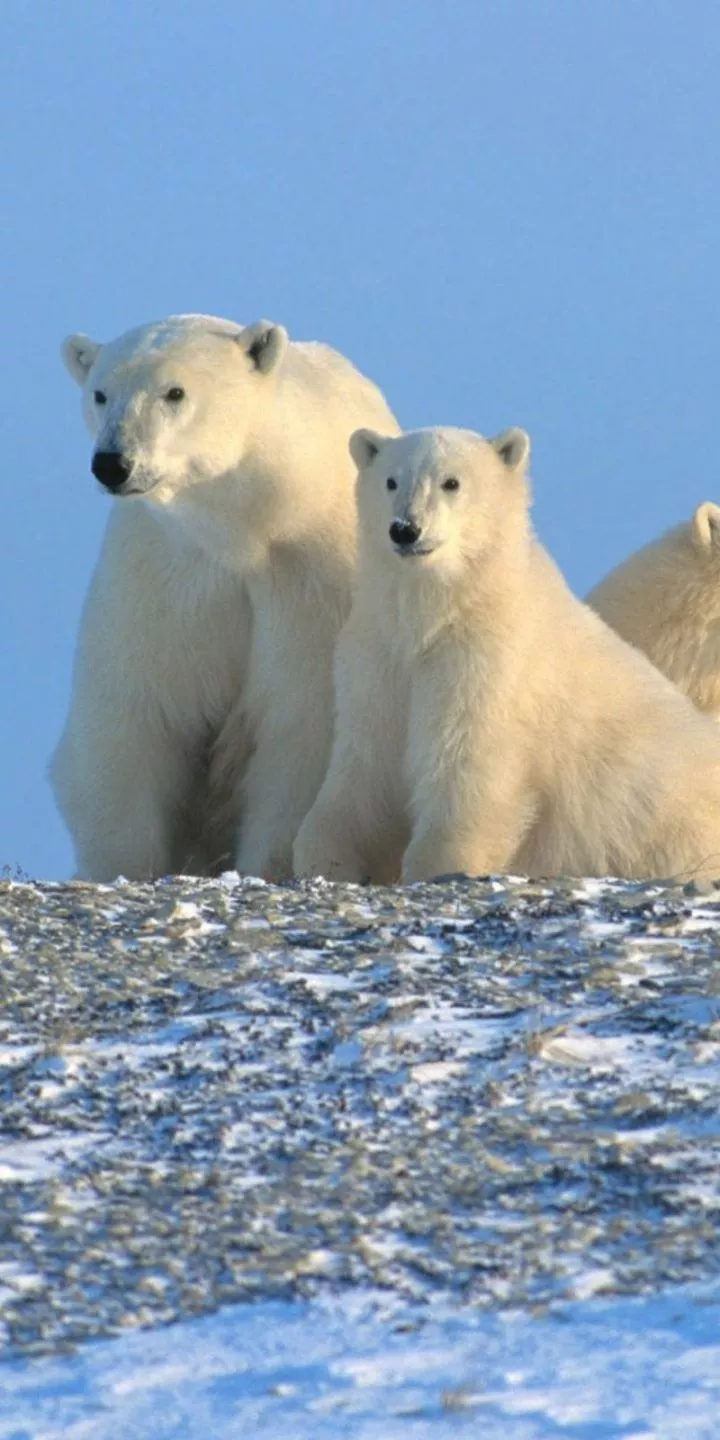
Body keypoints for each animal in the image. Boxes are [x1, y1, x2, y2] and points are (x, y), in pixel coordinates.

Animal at [52, 313, 399, 882]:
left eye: (175, 391)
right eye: (100, 393)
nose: (113, 463)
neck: (246, 530)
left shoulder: (308, 585)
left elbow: (298, 726)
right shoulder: (165, 577)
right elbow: (135, 717)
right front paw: (121, 866)